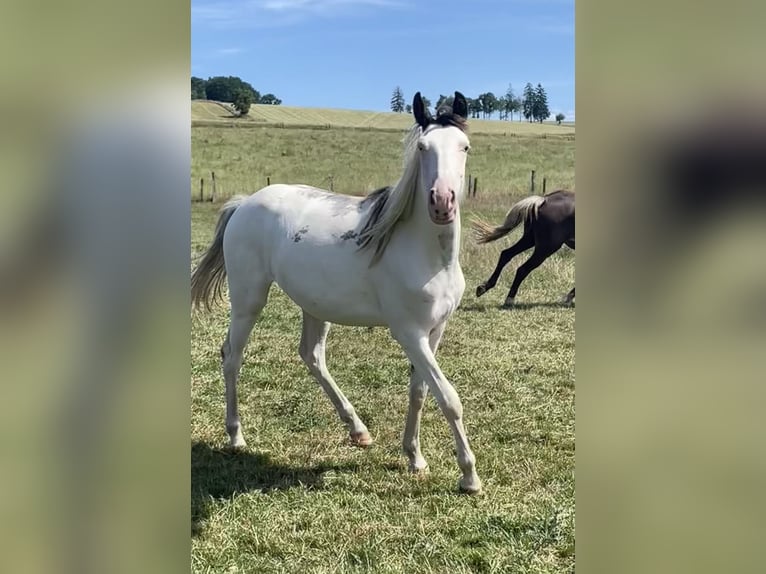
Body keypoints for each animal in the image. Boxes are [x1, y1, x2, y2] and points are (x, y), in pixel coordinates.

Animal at [191, 92, 482, 494]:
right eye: (423, 148)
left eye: (464, 146)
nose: (442, 202)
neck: (427, 255)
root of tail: (244, 203)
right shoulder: (409, 332)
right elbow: (449, 398)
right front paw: (469, 476)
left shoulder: (434, 330)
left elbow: (421, 392)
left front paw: (414, 458)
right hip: (249, 299)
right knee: (232, 355)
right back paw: (236, 436)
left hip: (315, 305)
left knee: (311, 355)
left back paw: (358, 430)